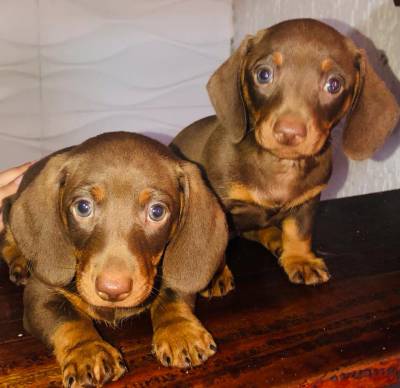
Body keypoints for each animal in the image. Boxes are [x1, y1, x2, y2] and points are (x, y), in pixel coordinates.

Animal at [0, 132, 228, 386]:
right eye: (83, 207)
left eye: (157, 211)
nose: (112, 290)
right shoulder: (39, 294)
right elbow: (68, 319)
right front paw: (87, 352)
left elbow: (172, 295)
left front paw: (180, 330)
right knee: (7, 240)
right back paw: (19, 261)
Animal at [170, 17, 398, 284]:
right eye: (263, 74)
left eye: (334, 84)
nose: (289, 132)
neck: (280, 165)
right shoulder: (219, 206)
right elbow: (215, 240)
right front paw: (213, 274)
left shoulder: (308, 201)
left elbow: (299, 232)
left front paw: (300, 259)